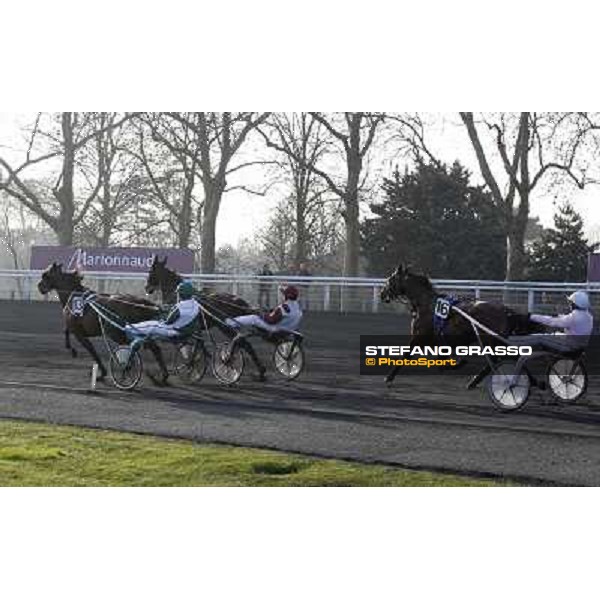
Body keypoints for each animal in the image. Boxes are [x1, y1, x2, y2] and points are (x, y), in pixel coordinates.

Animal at [382, 264, 548, 386]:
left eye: (390, 280)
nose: (382, 294)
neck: (426, 304)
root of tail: (505, 311)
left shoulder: (418, 338)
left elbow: (405, 355)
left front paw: (389, 377)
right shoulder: (438, 341)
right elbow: (440, 362)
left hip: (489, 340)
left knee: (500, 359)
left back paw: (476, 381)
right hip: (496, 341)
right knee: (513, 357)